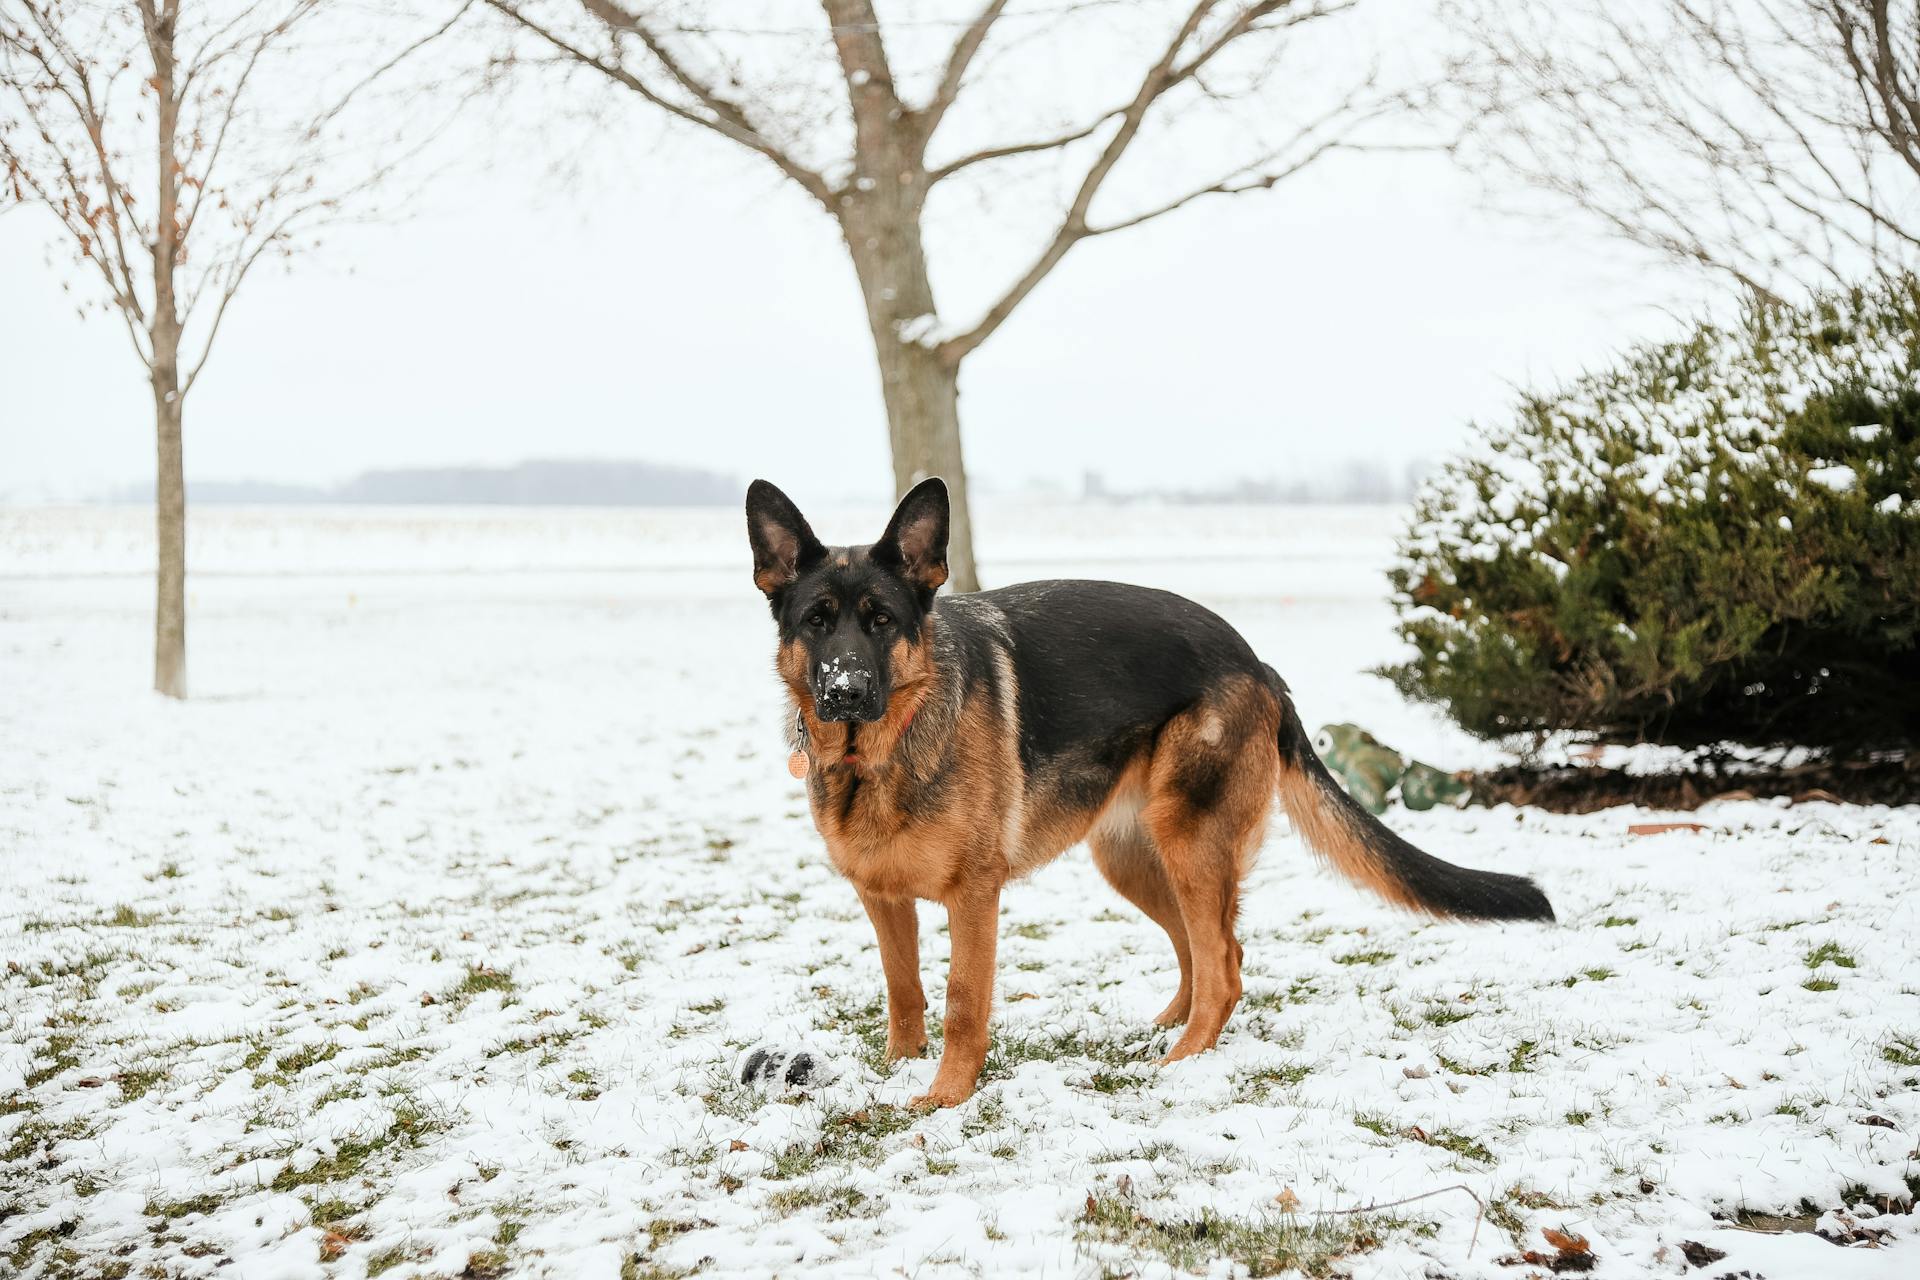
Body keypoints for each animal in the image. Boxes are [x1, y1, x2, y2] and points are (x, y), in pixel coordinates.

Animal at [741, 475, 1551, 1105]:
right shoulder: (883, 899)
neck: (881, 754)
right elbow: (904, 993)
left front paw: (945, 1097)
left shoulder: (974, 897)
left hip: (1188, 843)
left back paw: (1184, 1061)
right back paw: (1168, 1031)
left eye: (882, 622)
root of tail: (1257, 662)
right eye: (817, 622)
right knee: (1212, 950)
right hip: (1136, 857)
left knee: (1223, 966)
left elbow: (963, 1003)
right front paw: (896, 1072)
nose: (846, 691)